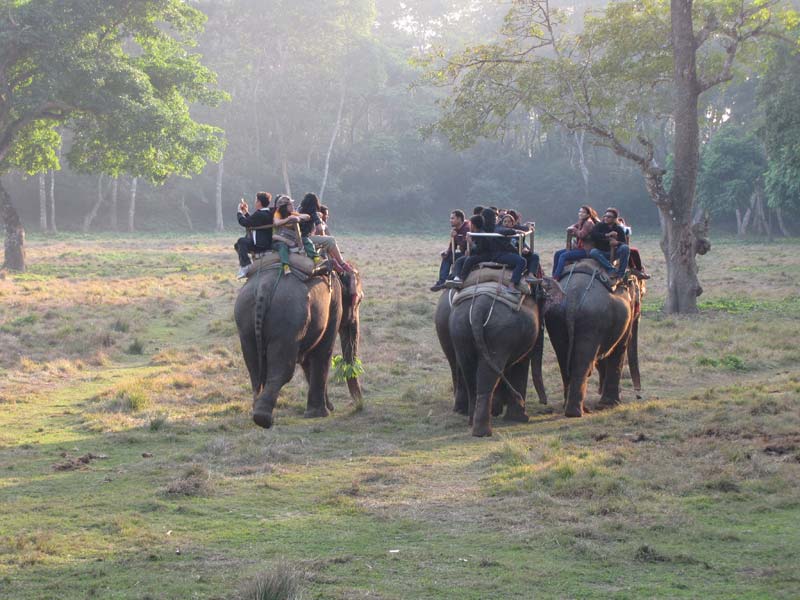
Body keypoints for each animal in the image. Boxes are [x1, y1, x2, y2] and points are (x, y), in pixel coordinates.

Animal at [234, 264, 362, 428]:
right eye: (358, 301)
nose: (358, 404)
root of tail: (264, 288)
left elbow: (308, 361)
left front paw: (325, 409)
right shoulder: (334, 305)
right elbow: (322, 352)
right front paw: (320, 414)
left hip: (244, 321)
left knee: (255, 370)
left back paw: (257, 412)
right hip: (288, 320)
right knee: (283, 370)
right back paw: (264, 419)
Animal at [544, 258, 644, 418]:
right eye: (640, 292)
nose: (638, 395)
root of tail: (572, 298)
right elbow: (619, 348)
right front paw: (611, 404)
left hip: (556, 317)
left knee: (563, 360)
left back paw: (572, 408)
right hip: (591, 320)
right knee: (582, 360)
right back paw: (576, 412)